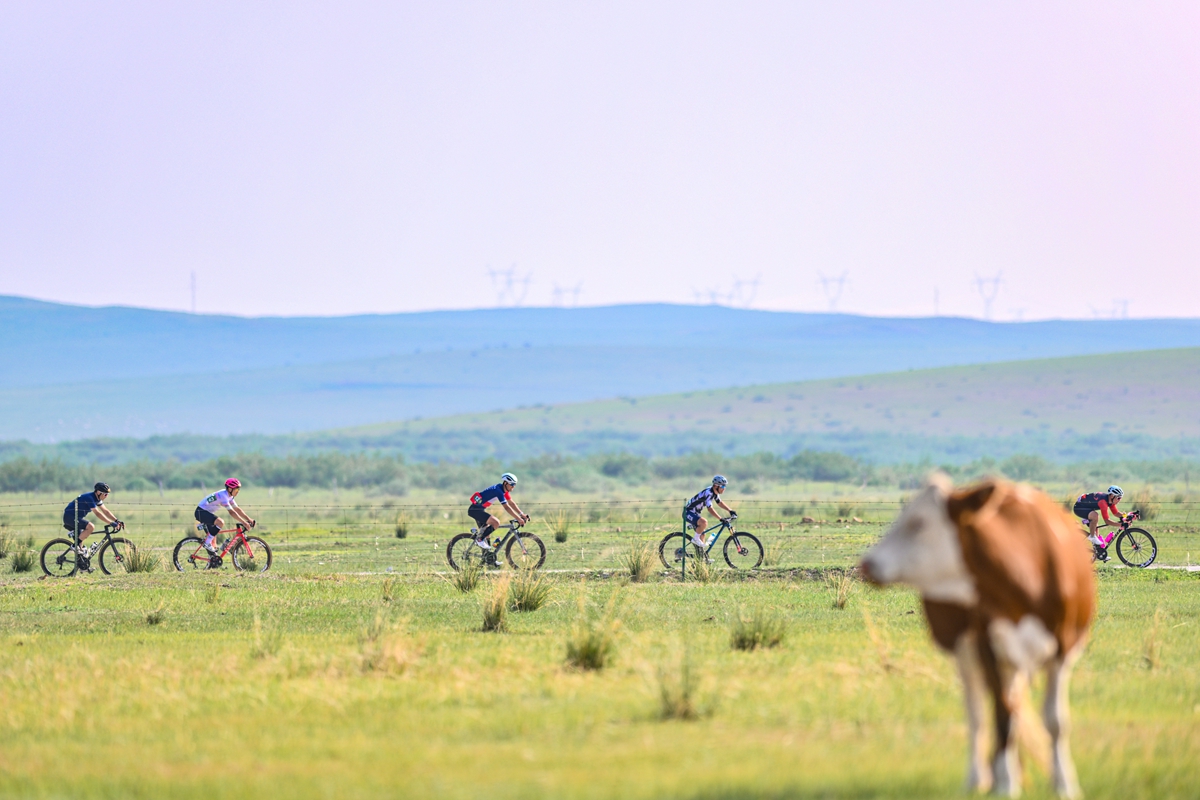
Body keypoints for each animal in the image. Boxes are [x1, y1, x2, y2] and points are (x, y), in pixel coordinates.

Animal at [864, 472, 1099, 796]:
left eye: (918, 523)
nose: (867, 564)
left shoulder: (1063, 649)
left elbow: (1055, 720)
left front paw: (1064, 784)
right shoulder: (989, 647)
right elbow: (1001, 716)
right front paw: (1006, 784)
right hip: (965, 649)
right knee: (978, 713)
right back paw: (979, 778)